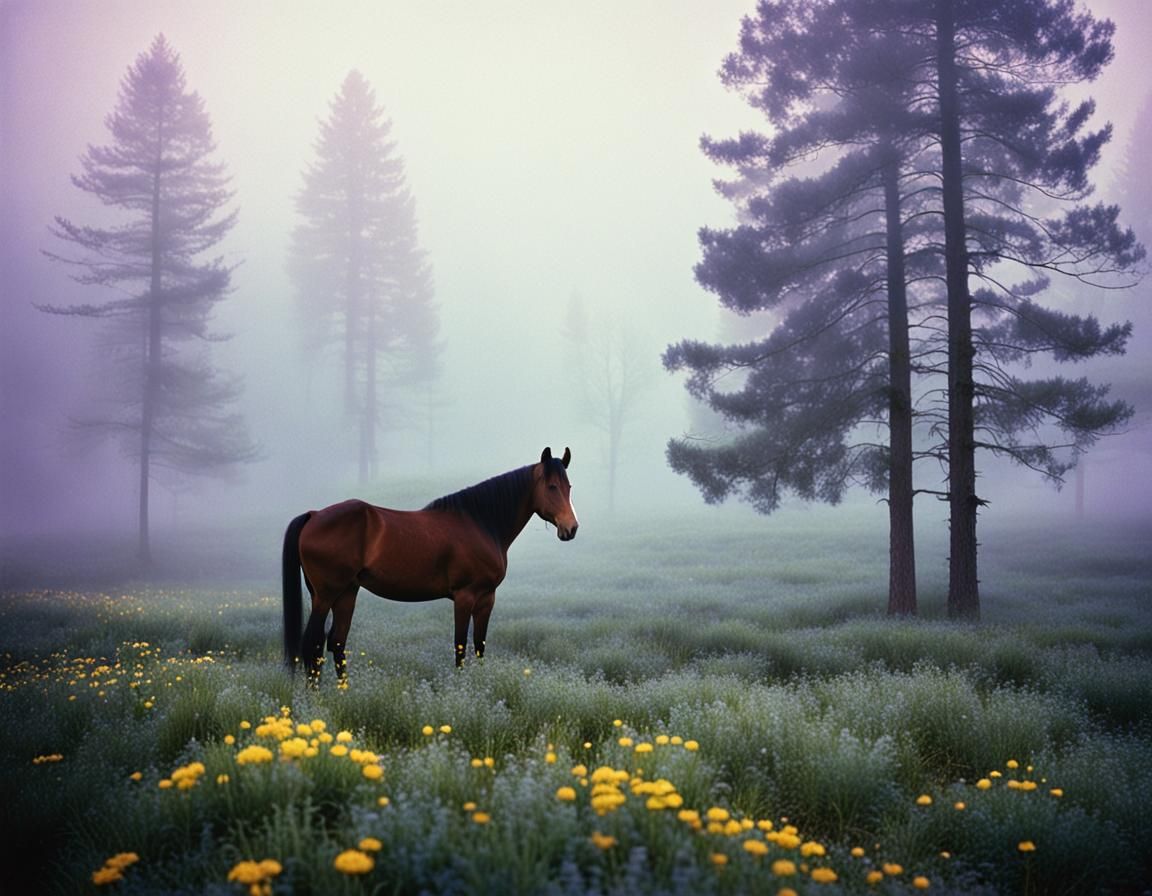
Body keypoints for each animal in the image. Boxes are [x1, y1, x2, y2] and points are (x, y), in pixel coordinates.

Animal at [281, 447, 578, 682]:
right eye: (552, 487)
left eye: (569, 487)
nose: (571, 528)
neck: (480, 523)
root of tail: (314, 515)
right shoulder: (465, 596)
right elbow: (460, 646)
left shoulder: (487, 598)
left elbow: (479, 645)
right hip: (325, 595)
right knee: (312, 644)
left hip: (346, 593)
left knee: (336, 643)